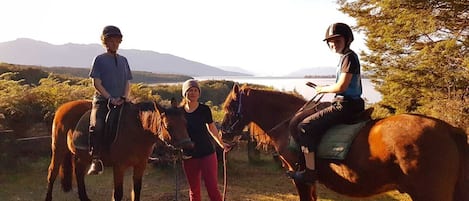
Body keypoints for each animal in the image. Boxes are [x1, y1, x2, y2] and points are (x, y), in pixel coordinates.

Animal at [45, 99, 194, 200]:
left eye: (185, 123)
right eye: (168, 126)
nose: (188, 147)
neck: (137, 130)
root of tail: (63, 107)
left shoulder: (140, 166)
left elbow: (136, 191)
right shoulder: (119, 167)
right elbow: (118, 194)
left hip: (81, 156)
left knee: (79, 173)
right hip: (58, 148)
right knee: (52, 173)